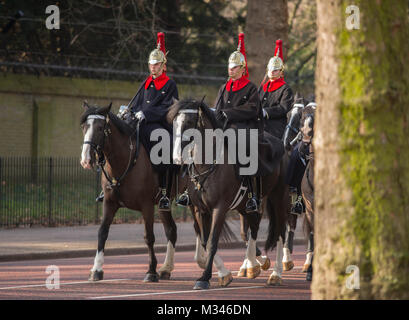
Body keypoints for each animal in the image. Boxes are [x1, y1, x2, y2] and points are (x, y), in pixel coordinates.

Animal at [78, 102, 186, 282]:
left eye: (100, 128)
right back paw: (166, 268)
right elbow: (102, 232)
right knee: (172, 230)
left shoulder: (146, 206)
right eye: (84, 127)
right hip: (165, 204)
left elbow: (149, 237)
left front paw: (151, 271)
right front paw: (96, 269)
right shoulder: (109, 203)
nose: (86, 160)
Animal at [166, 98, 286, 290]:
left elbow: (213, 241)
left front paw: (206, 277)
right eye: (174, 123)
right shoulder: (200, 210)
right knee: (253, 228)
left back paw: (276, 273)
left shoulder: (219, 208)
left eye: (190, 122)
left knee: (281, 231)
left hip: (278, 197)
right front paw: (222, 273)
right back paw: (254, 265)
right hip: (246, 205)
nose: (177, 158)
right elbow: (205, 241)